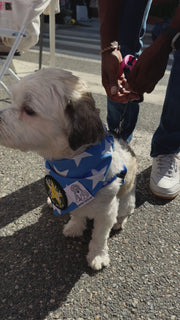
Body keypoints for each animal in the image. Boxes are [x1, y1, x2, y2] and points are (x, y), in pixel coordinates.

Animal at [0, 68, 136, 270]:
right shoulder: (70, 195)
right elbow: (77, 214)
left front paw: (98, 255)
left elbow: (100, 236)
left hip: (127, 201)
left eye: (29, 110)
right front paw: (75, 226)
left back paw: (120, 222)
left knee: (124, 213)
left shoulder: (106, 212)